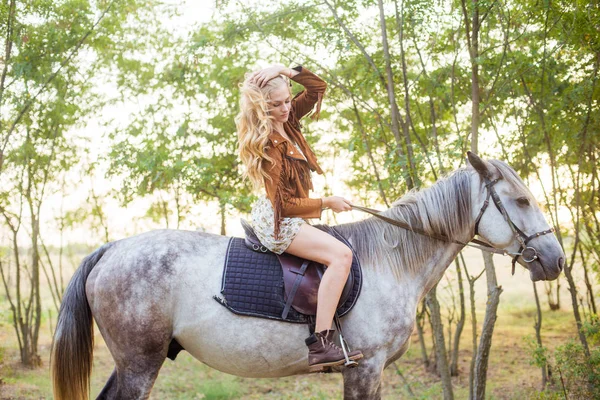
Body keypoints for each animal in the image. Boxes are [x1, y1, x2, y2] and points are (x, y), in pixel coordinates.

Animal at [50, 153, 564, 400]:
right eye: (520, 200)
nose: (556, 260)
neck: (390, 262)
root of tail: (112, 248)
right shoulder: (365, 369)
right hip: (140, 362)